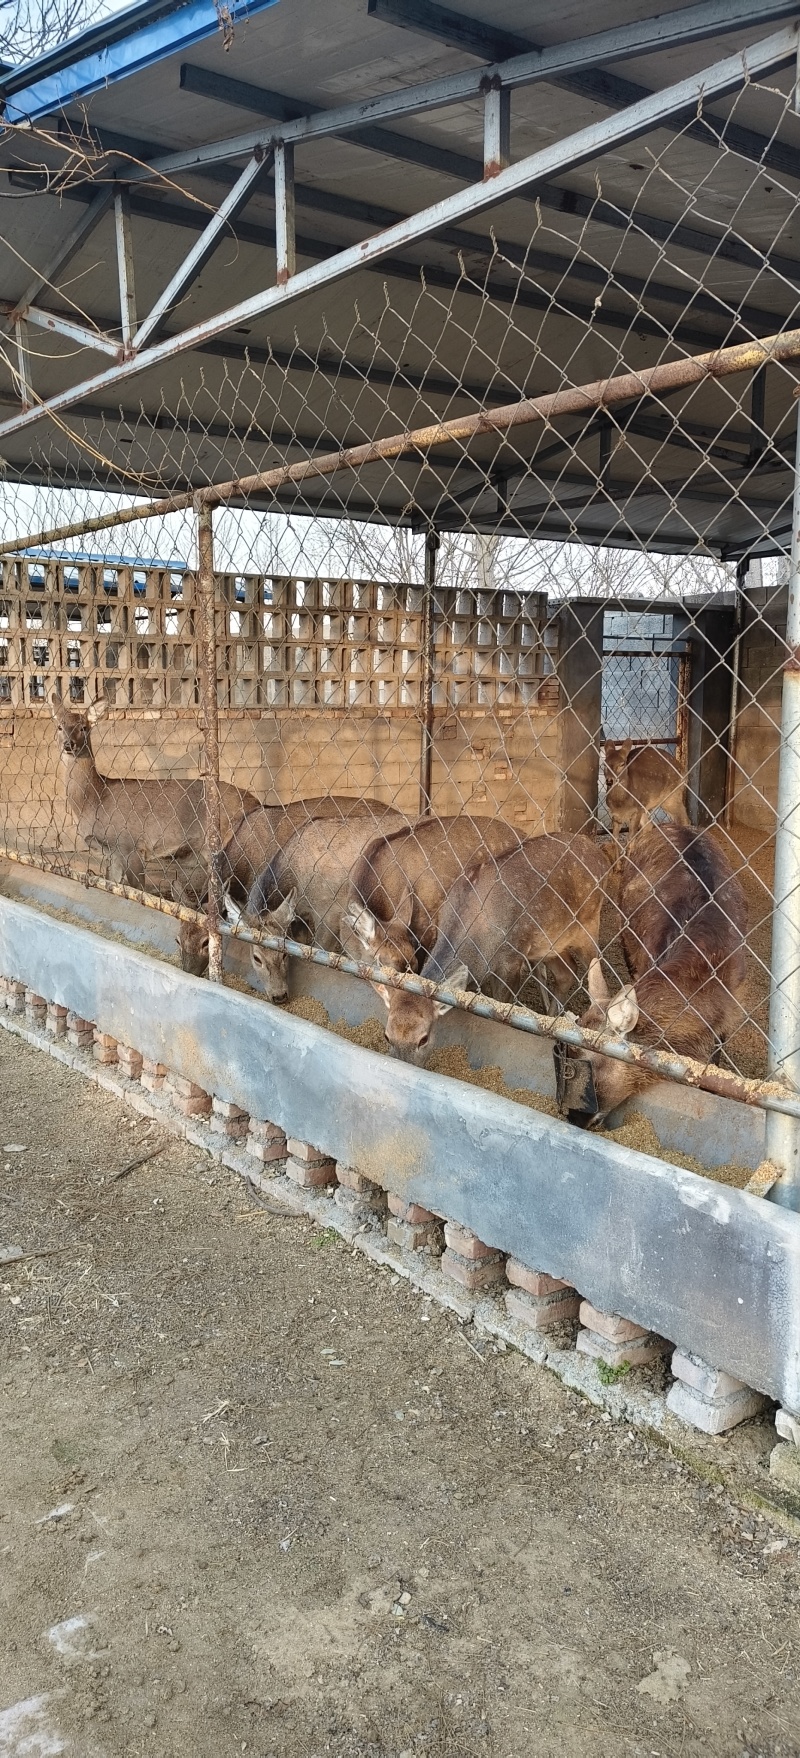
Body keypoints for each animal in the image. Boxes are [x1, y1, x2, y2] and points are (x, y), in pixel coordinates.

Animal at [362, 832, 610, 1061]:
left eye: (423, 1039)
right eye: (387, 1036)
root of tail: (600, 853)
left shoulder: (512, 958)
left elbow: (501, 1007)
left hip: (589, 922)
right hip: (550, 942)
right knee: (567, 972)